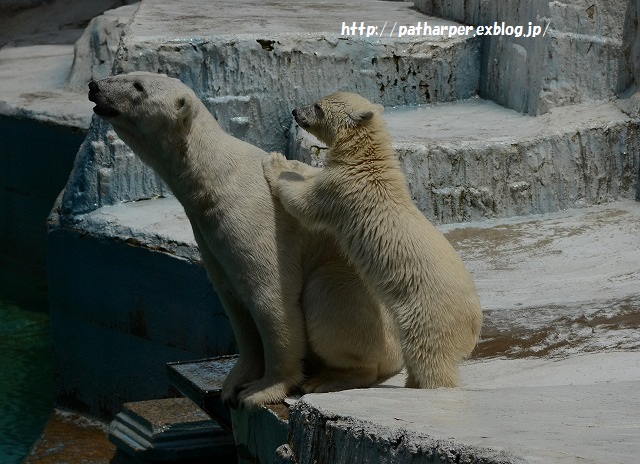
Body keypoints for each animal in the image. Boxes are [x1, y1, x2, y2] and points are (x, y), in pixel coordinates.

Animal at [87, 71, 402, 406]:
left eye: (138, 87)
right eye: (124, 74)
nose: (95, 87)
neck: (214, 176)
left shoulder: (257, 220)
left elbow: (272, 299)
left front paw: (261, 390)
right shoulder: (209, 235)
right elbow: (235, 304)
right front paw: (233, 383)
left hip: (360, 292)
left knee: (327, 298)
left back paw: (331, 378)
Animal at [264, 90, 480, 388]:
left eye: (318, 106)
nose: (295, 111)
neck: (365, 159)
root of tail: (474, 323)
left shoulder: (340, 190)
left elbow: (303, 203)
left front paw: (275, 162)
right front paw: (294, 164)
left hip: (428, 314)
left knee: (429, 357)